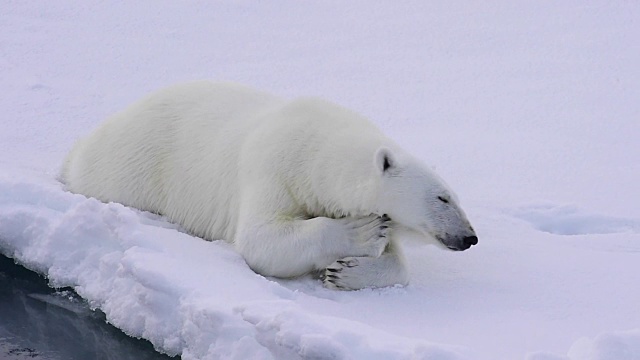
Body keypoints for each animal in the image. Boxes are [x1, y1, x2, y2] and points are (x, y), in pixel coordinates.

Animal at [62, 81, 478, 290]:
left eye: (455, 197)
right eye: (442, 197)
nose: (470, 237)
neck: (318, 150)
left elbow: (398, 262)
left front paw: (344, 271)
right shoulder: (275, 168)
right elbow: (261, 240)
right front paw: (359, 234)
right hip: (133, 166)